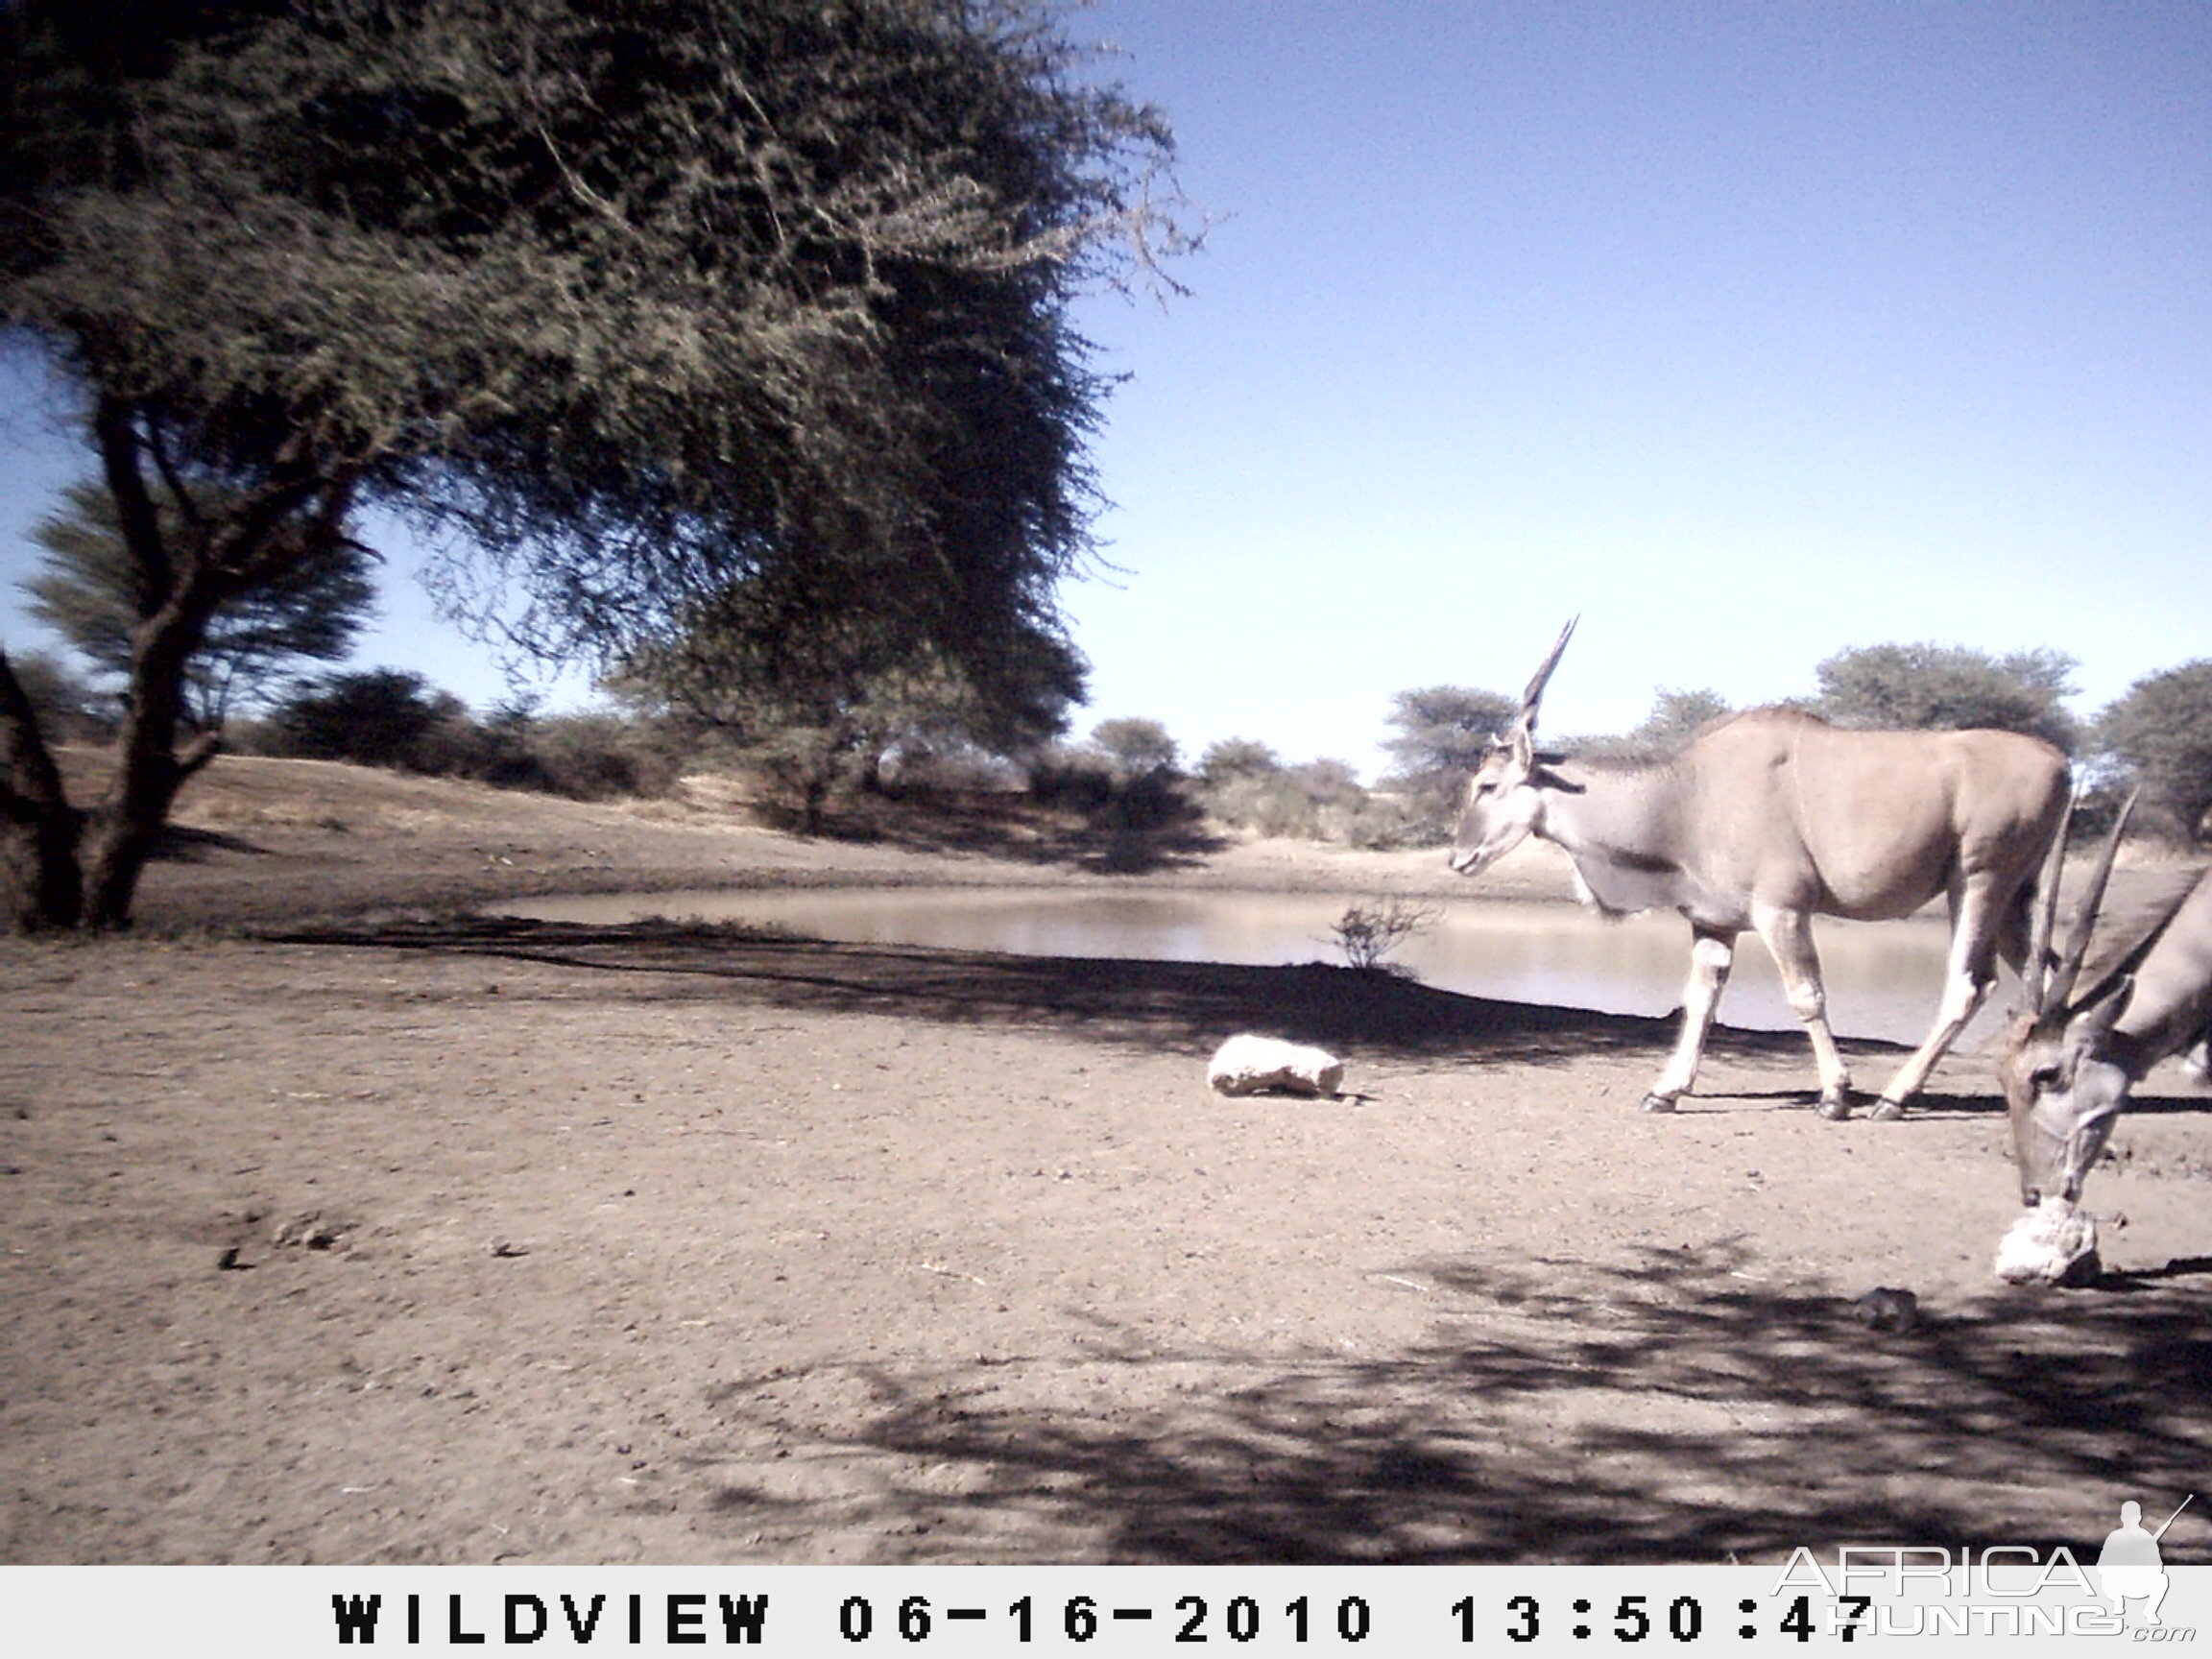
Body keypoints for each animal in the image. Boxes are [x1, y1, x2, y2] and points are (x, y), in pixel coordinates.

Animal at [1451, 623, 2070, 1118]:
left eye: (1488, 785)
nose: (1459, 858)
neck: (1685, 795)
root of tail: (2060, 762)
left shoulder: (1783, 912)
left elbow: (1806, 997)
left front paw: (1835, 1095)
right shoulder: (1713, 924)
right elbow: (1701, 1000)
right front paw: (1665, 1091)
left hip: (1979, 882)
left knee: (1968, 984)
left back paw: (1894, 1098)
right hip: (2013, 897)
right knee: (2044, 977)